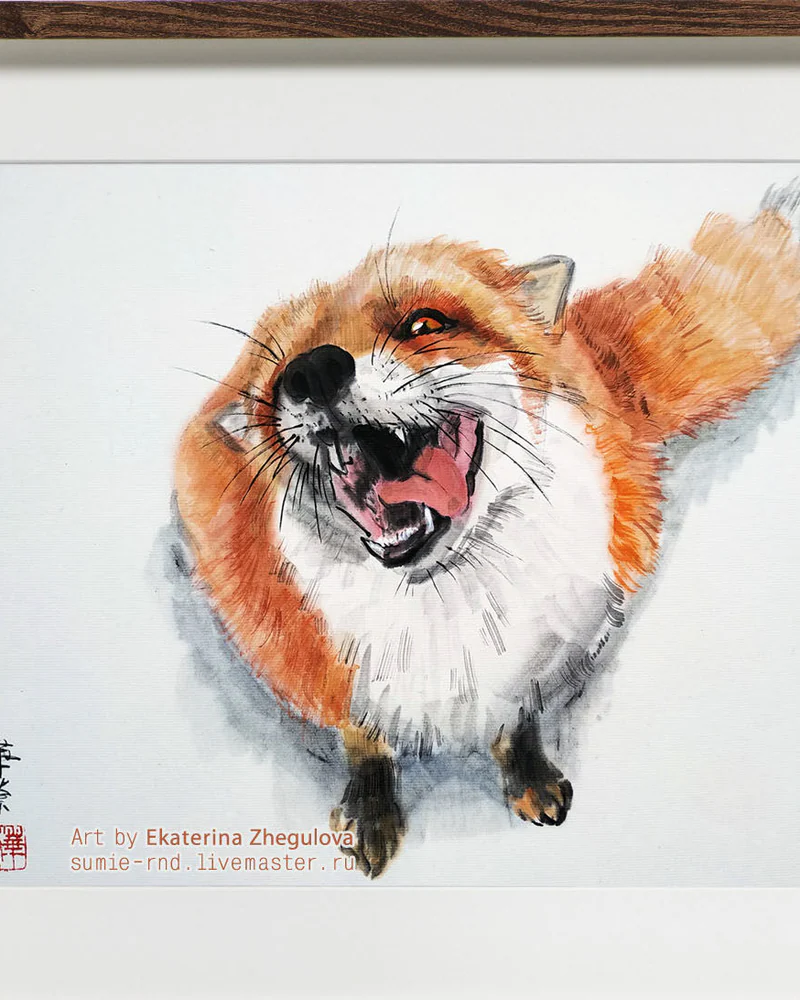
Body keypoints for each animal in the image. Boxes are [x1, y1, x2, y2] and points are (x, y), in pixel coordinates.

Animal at [174, 182, 800, 877]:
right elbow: (367, 745)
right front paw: (371, 813)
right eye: (277, 376)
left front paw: (528, 778)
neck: (450, 605)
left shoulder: (541, 656)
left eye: (424, 324)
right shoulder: (342, 681)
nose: (312, 372)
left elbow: (517, 724)